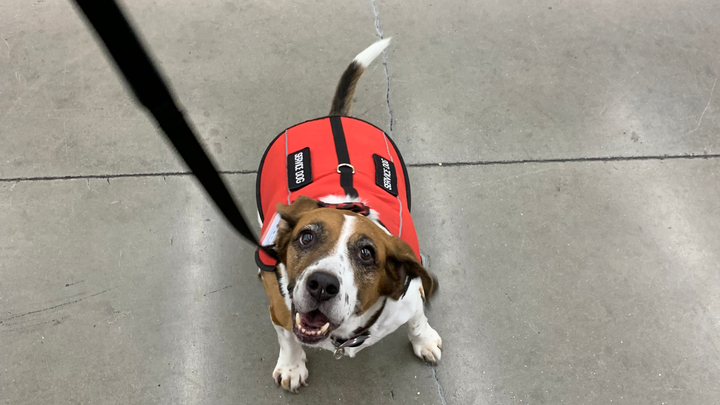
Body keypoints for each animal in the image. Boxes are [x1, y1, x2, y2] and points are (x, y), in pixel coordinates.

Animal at [255, 38, 442, 393]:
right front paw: (291, 366)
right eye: (306, 236)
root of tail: (334, 118)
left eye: (367, 253)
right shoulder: (279, 307)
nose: (322, 285)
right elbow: (287, 337)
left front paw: (423, 340)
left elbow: (417, 319)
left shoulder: (409, 299)